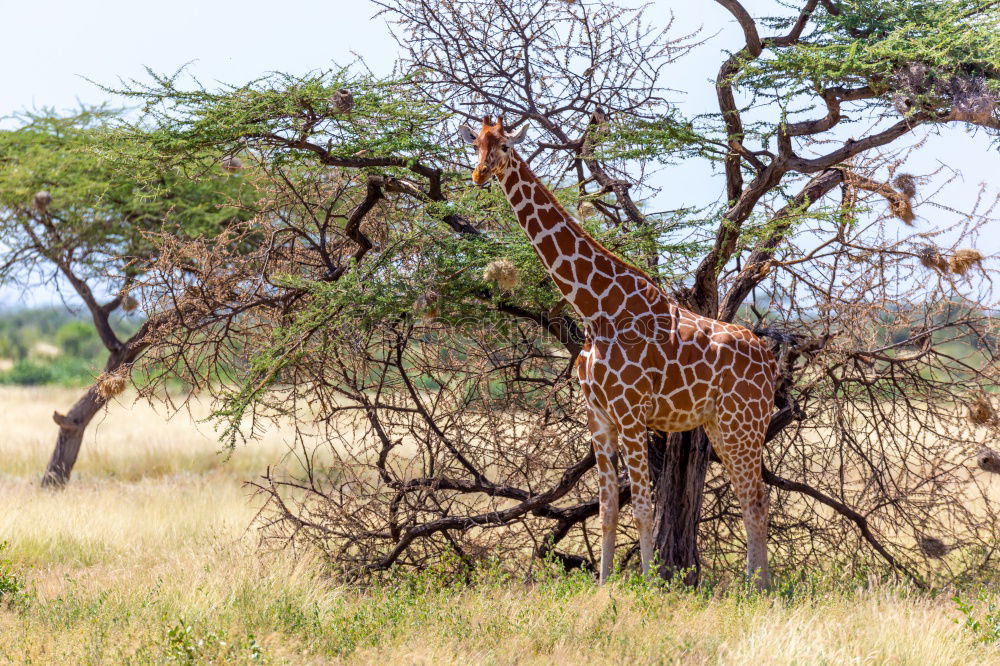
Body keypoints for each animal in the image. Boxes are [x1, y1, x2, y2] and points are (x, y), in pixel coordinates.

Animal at [460, 115, 780, 588]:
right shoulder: (599, 418)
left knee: (757, 497)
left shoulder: (632, 413)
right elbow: (608, 508)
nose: (480, 174)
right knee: (750, 497)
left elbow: (644, 507)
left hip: (744, 423)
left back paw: (758, 588)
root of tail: (768, 357)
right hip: (722, 426)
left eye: (503, 146)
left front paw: (649, 587)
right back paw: (755, 586)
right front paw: (603, 586)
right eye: (476, 145)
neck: (596, 309)